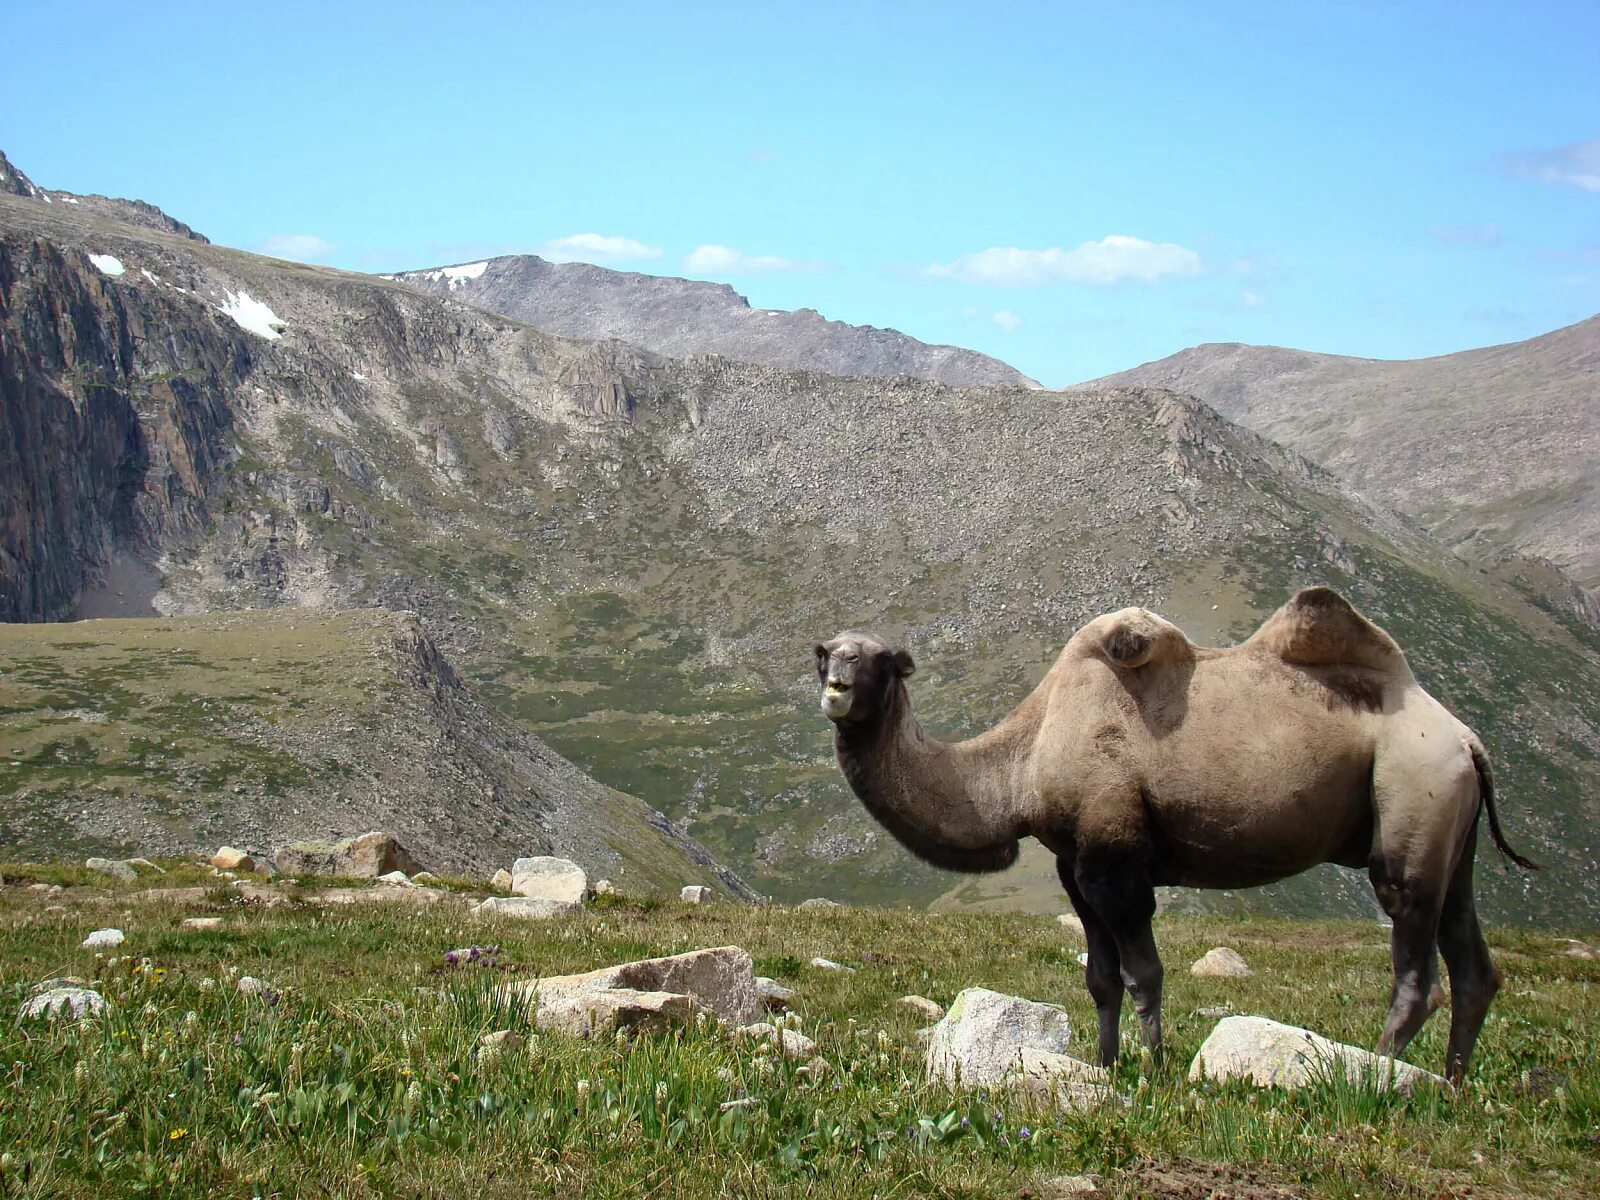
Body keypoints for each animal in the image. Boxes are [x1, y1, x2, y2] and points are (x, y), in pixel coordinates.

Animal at [819, 588, 1542, 1088]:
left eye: (880, 660)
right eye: (827, 651)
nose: (835, 685)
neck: (1023, 762)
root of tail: (1468, 741)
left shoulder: (1116, 857)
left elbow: (1144, 972)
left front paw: (1156, 1069)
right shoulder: (1074, 864)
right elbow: (1100, 977)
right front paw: (1106, 1065)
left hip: (1412, 797)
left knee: (1416, 958)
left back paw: (1376, 1075)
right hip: (1451, 831)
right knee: (1473, 964)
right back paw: (1452, 1084)